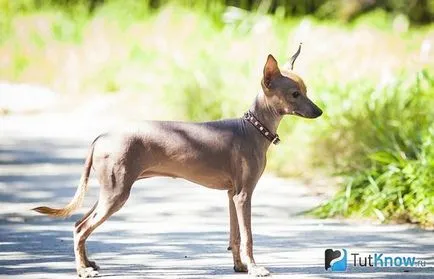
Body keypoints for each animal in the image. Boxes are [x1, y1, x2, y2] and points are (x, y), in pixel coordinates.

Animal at [34, 47, 322, 278]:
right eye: (295, 94)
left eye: (306, 91)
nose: (320, 111)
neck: (253, 128)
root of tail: (102, 136)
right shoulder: (243, 196)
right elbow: (248, 236)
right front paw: (254, 268)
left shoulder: (232, 195)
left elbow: (235, 235)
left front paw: (240, 266)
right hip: (116, 193)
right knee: (81, 228)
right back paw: (83, 270)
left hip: (110, 190)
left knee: (79, 224)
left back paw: (88, 263)